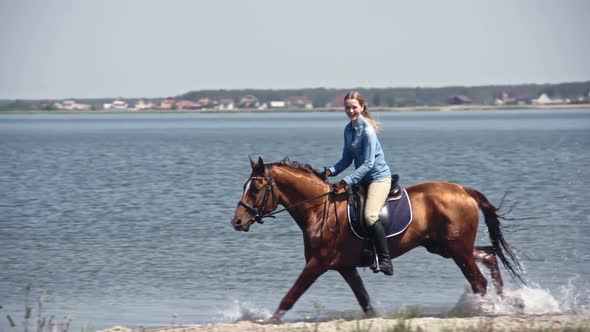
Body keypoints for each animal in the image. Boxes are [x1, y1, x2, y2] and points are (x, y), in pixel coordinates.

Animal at [231, 158, 528, 322]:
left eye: (255, 188)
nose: (237, 222)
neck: (319, 209)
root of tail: (463, 190)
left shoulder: (317, 263)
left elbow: (290, 297)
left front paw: (269, 321)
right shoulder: (345, 267)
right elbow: (365, 301)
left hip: (457, 251)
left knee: (478, 280)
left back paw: (486, 309)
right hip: (445, 248)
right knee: (489, 256)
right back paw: (511, 302)